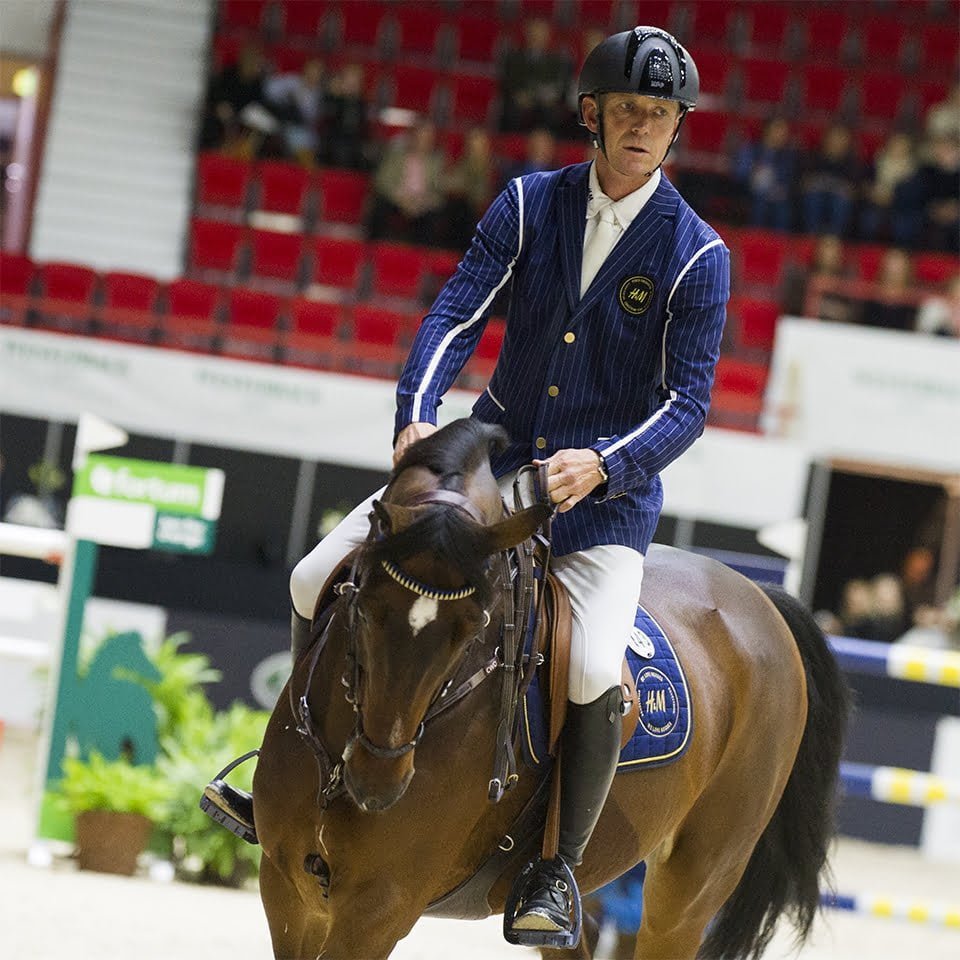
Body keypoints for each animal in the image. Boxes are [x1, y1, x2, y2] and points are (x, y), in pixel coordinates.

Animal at [252, 417, 850, 960]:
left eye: (475, 626)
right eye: (365, 604)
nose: (378, 783)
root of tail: (762, 596)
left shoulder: (379, 908)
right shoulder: (287, 890)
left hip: (691, 888)